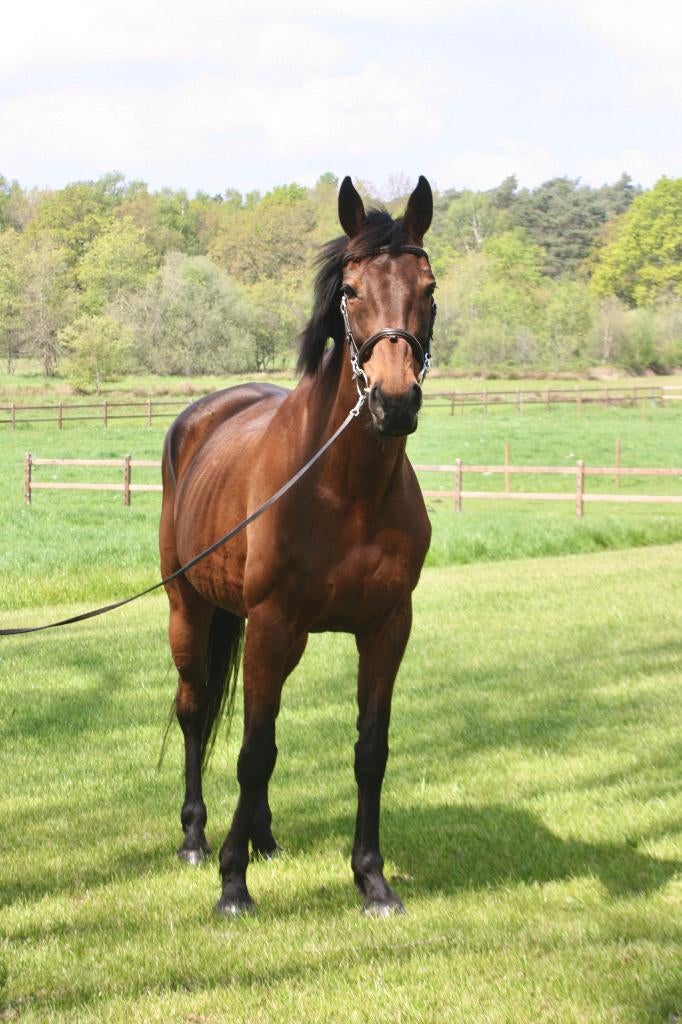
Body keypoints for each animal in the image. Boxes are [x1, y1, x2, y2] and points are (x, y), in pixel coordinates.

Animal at [159, 175, 436, 915]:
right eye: (351, 290)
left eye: (428, 287)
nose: (394, 402)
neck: (344, 490)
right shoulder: (273, 623)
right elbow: (255, 752)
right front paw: (232, 885)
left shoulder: (386, 627)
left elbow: (370, 751)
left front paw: (372, 880)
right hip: (191, 612)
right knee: (195, 713)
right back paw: (197, 839)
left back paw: (263, 837)